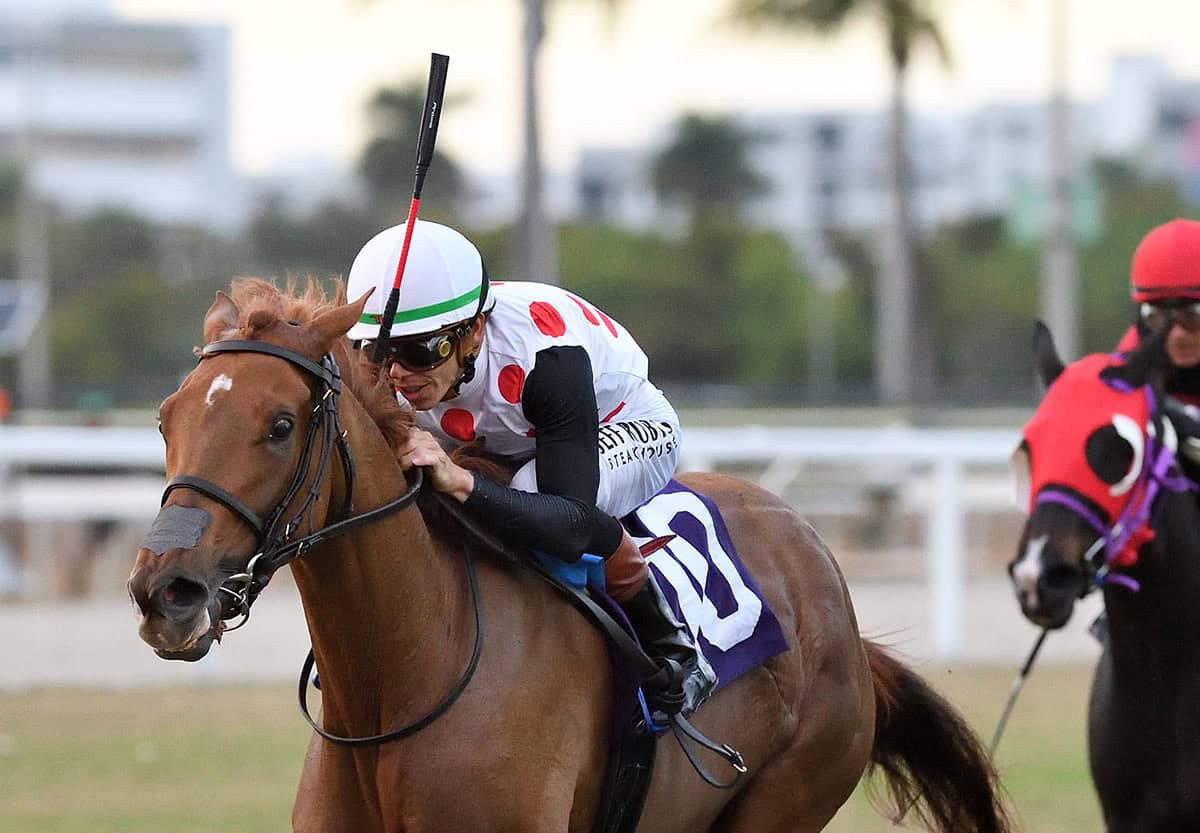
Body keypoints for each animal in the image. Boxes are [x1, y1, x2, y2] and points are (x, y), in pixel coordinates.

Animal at [127, 278, 1011, 833]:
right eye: (167, 417)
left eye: (280, 424)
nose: (166, 592)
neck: (403, 677)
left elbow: (579, 512)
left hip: (791, 791)